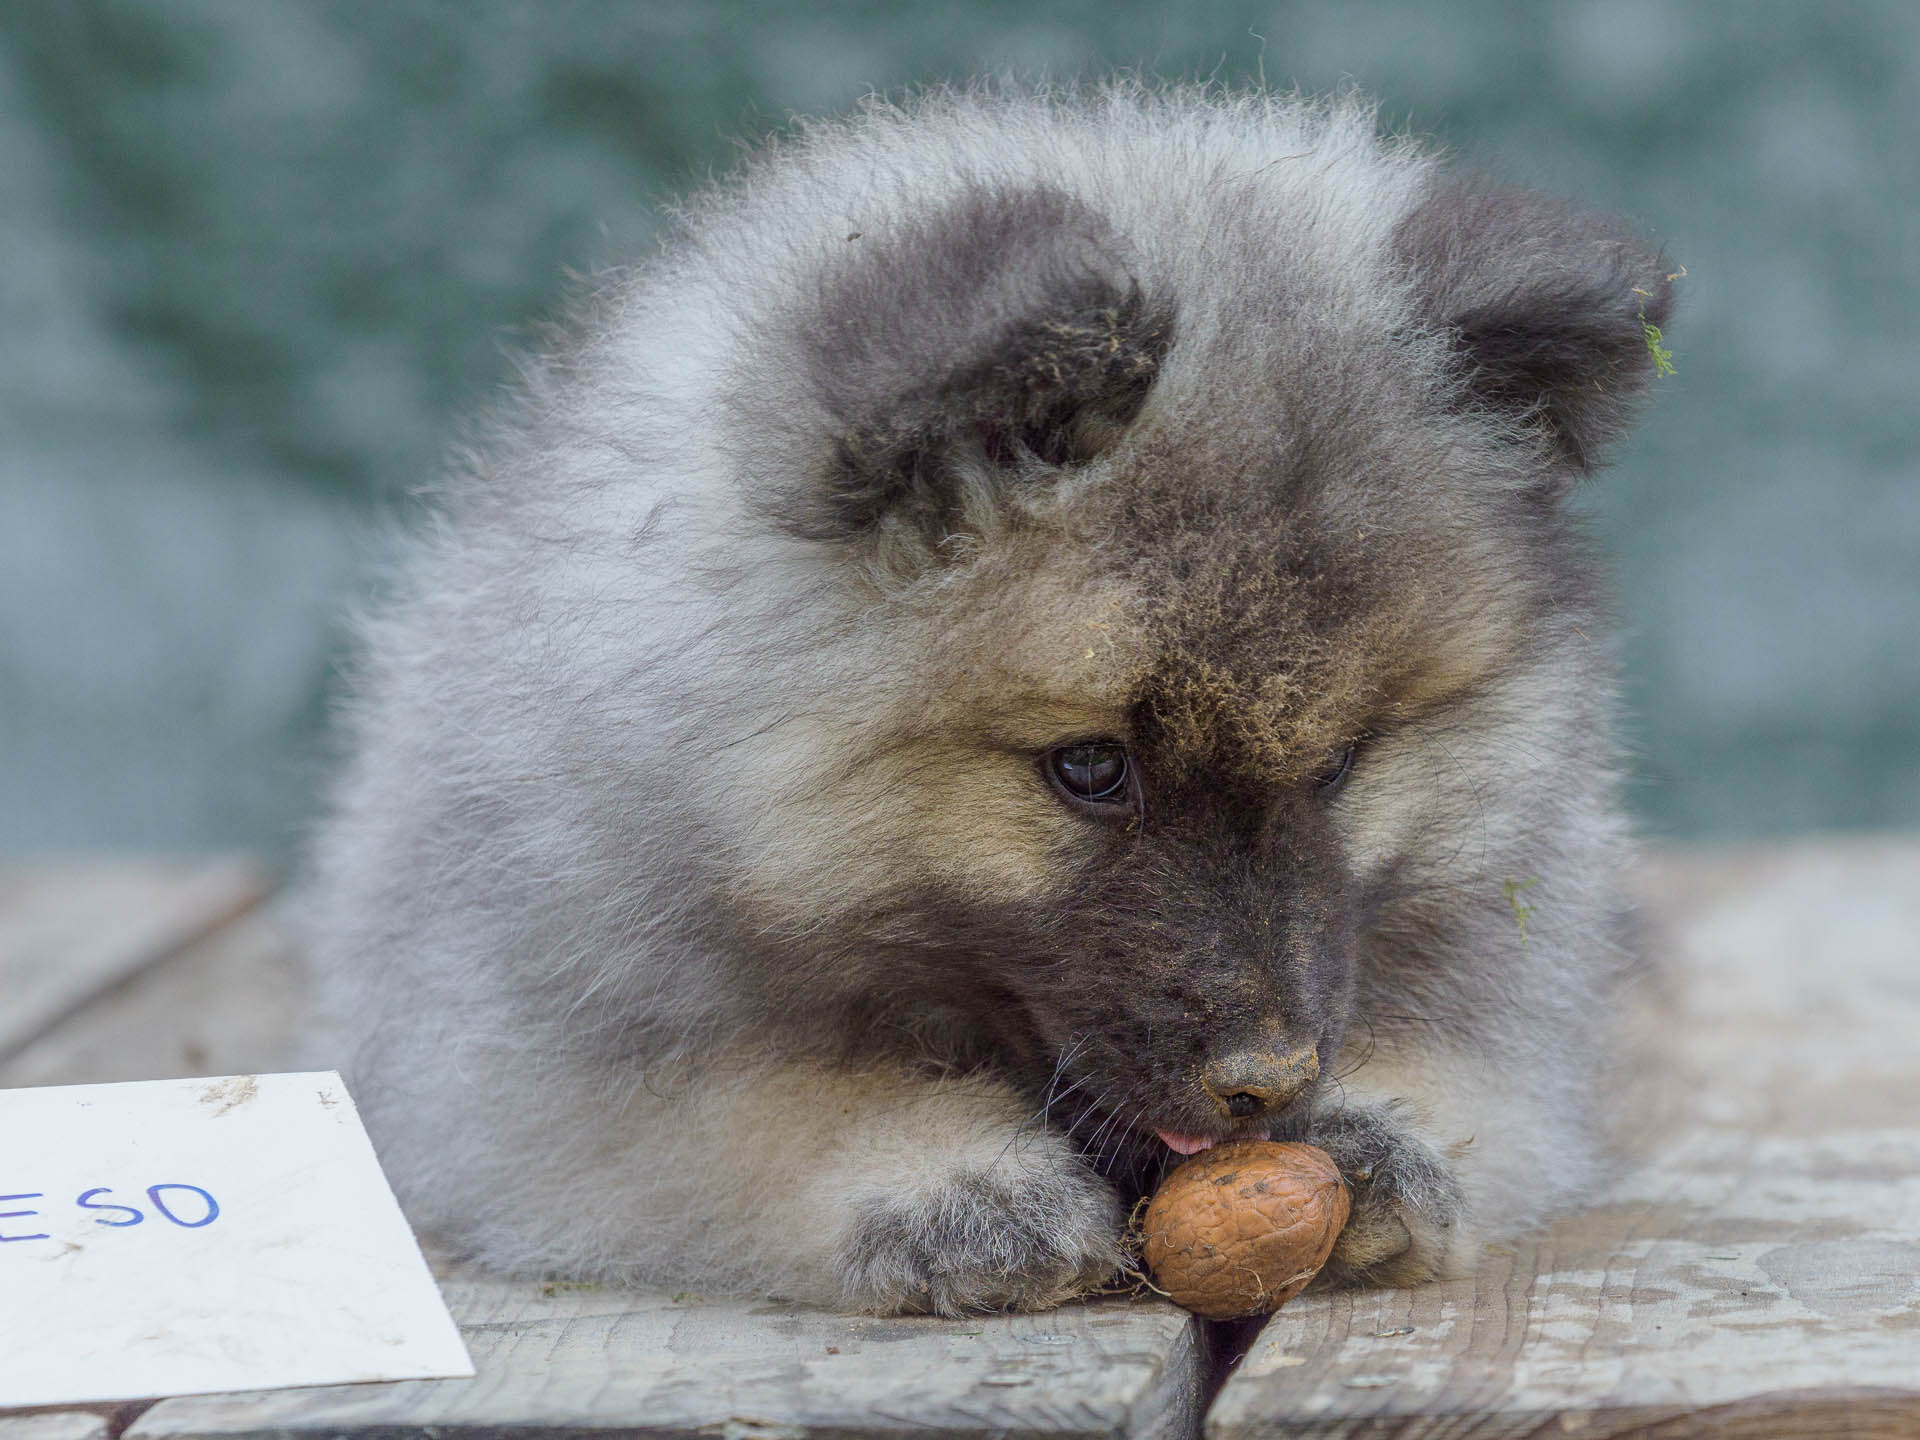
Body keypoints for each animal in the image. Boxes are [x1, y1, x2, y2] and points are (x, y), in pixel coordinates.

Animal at [295, 81, 1666, 1320]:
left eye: (1339, 765)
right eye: (1091, 768)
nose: (1269, 1085)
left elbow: (1483, 1068)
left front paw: (1379, 1133)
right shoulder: (517, 1071)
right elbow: (748, 1110)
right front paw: (948, 1177)